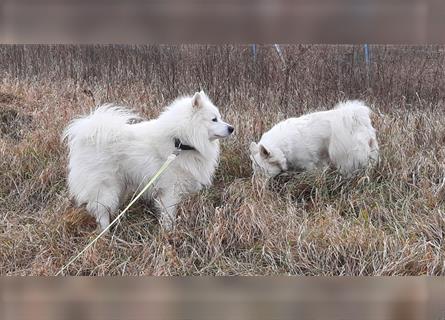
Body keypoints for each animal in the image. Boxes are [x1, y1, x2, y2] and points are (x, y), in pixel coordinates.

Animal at [64, 90, 236, 230]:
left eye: (219, 117)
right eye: (214, 119)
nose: (232, 128)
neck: (180, 142)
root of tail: (89, 134)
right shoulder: (170, 191)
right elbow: (169, 216)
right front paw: (169, 233)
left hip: (120, 186)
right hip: (105, 186)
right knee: (101, 211)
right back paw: (105, 233)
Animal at [250, 100, 378, 178]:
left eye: (261, 171)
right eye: (255, 170)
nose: (256, 188)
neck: (282, 148)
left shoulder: (309, 163)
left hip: (347, 158)